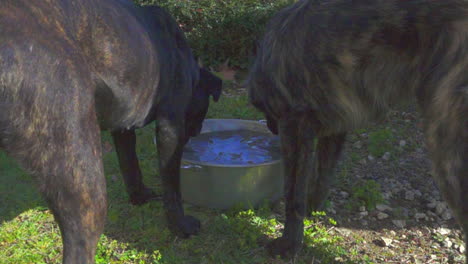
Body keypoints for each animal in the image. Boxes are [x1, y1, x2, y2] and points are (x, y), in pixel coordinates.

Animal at [0, 1, 223, 262]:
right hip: (83, 175)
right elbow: (172, 186)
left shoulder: (123, 127)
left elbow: (130, 165)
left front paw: (140, 197)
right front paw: (181, 226)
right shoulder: (171, 127)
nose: (197, 133)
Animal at [247, 0, 466, 260]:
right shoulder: (334, 129)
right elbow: (321, 179)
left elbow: (293, 194)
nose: (271, 130)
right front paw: (312, 213)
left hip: (446, 151)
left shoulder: (294, 126)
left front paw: (289, 243)